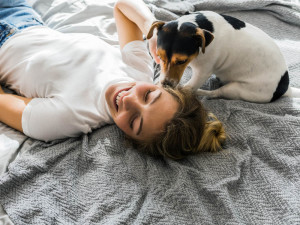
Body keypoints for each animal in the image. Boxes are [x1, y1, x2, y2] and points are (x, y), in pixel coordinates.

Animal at [146, 11, 298, 103]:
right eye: (159, 57)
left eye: (182, 60)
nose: (166, 84)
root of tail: (284, 88)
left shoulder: (202, 72)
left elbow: (189, 87)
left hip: (238, 90)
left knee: (216, 93)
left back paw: (200, 92)